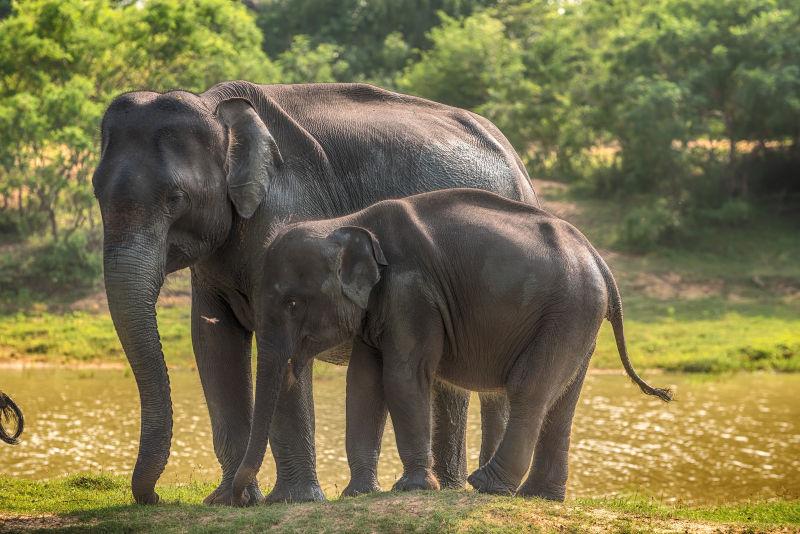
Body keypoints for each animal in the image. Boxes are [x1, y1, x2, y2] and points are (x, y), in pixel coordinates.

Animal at [95, 81, 544, 508]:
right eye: (97, 192)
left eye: (175, 199)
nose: (156, 497)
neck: (215, 106)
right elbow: (213, 342)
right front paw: (227, 501)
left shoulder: (286, 214)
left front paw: (290, 500)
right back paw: (450, 487)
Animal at [230, 188, 668, 506]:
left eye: (292, 303)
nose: (241, 499)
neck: (348, 223)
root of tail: (600, 260)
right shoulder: (379, 304)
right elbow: (364, 383)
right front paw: (359, 494)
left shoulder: (412, 293)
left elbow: (403, 376)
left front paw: (412, 489)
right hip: (580, 319)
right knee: (562, 401)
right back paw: (539, 497)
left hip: (567, 311)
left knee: (529, 389)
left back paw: (487, 485)